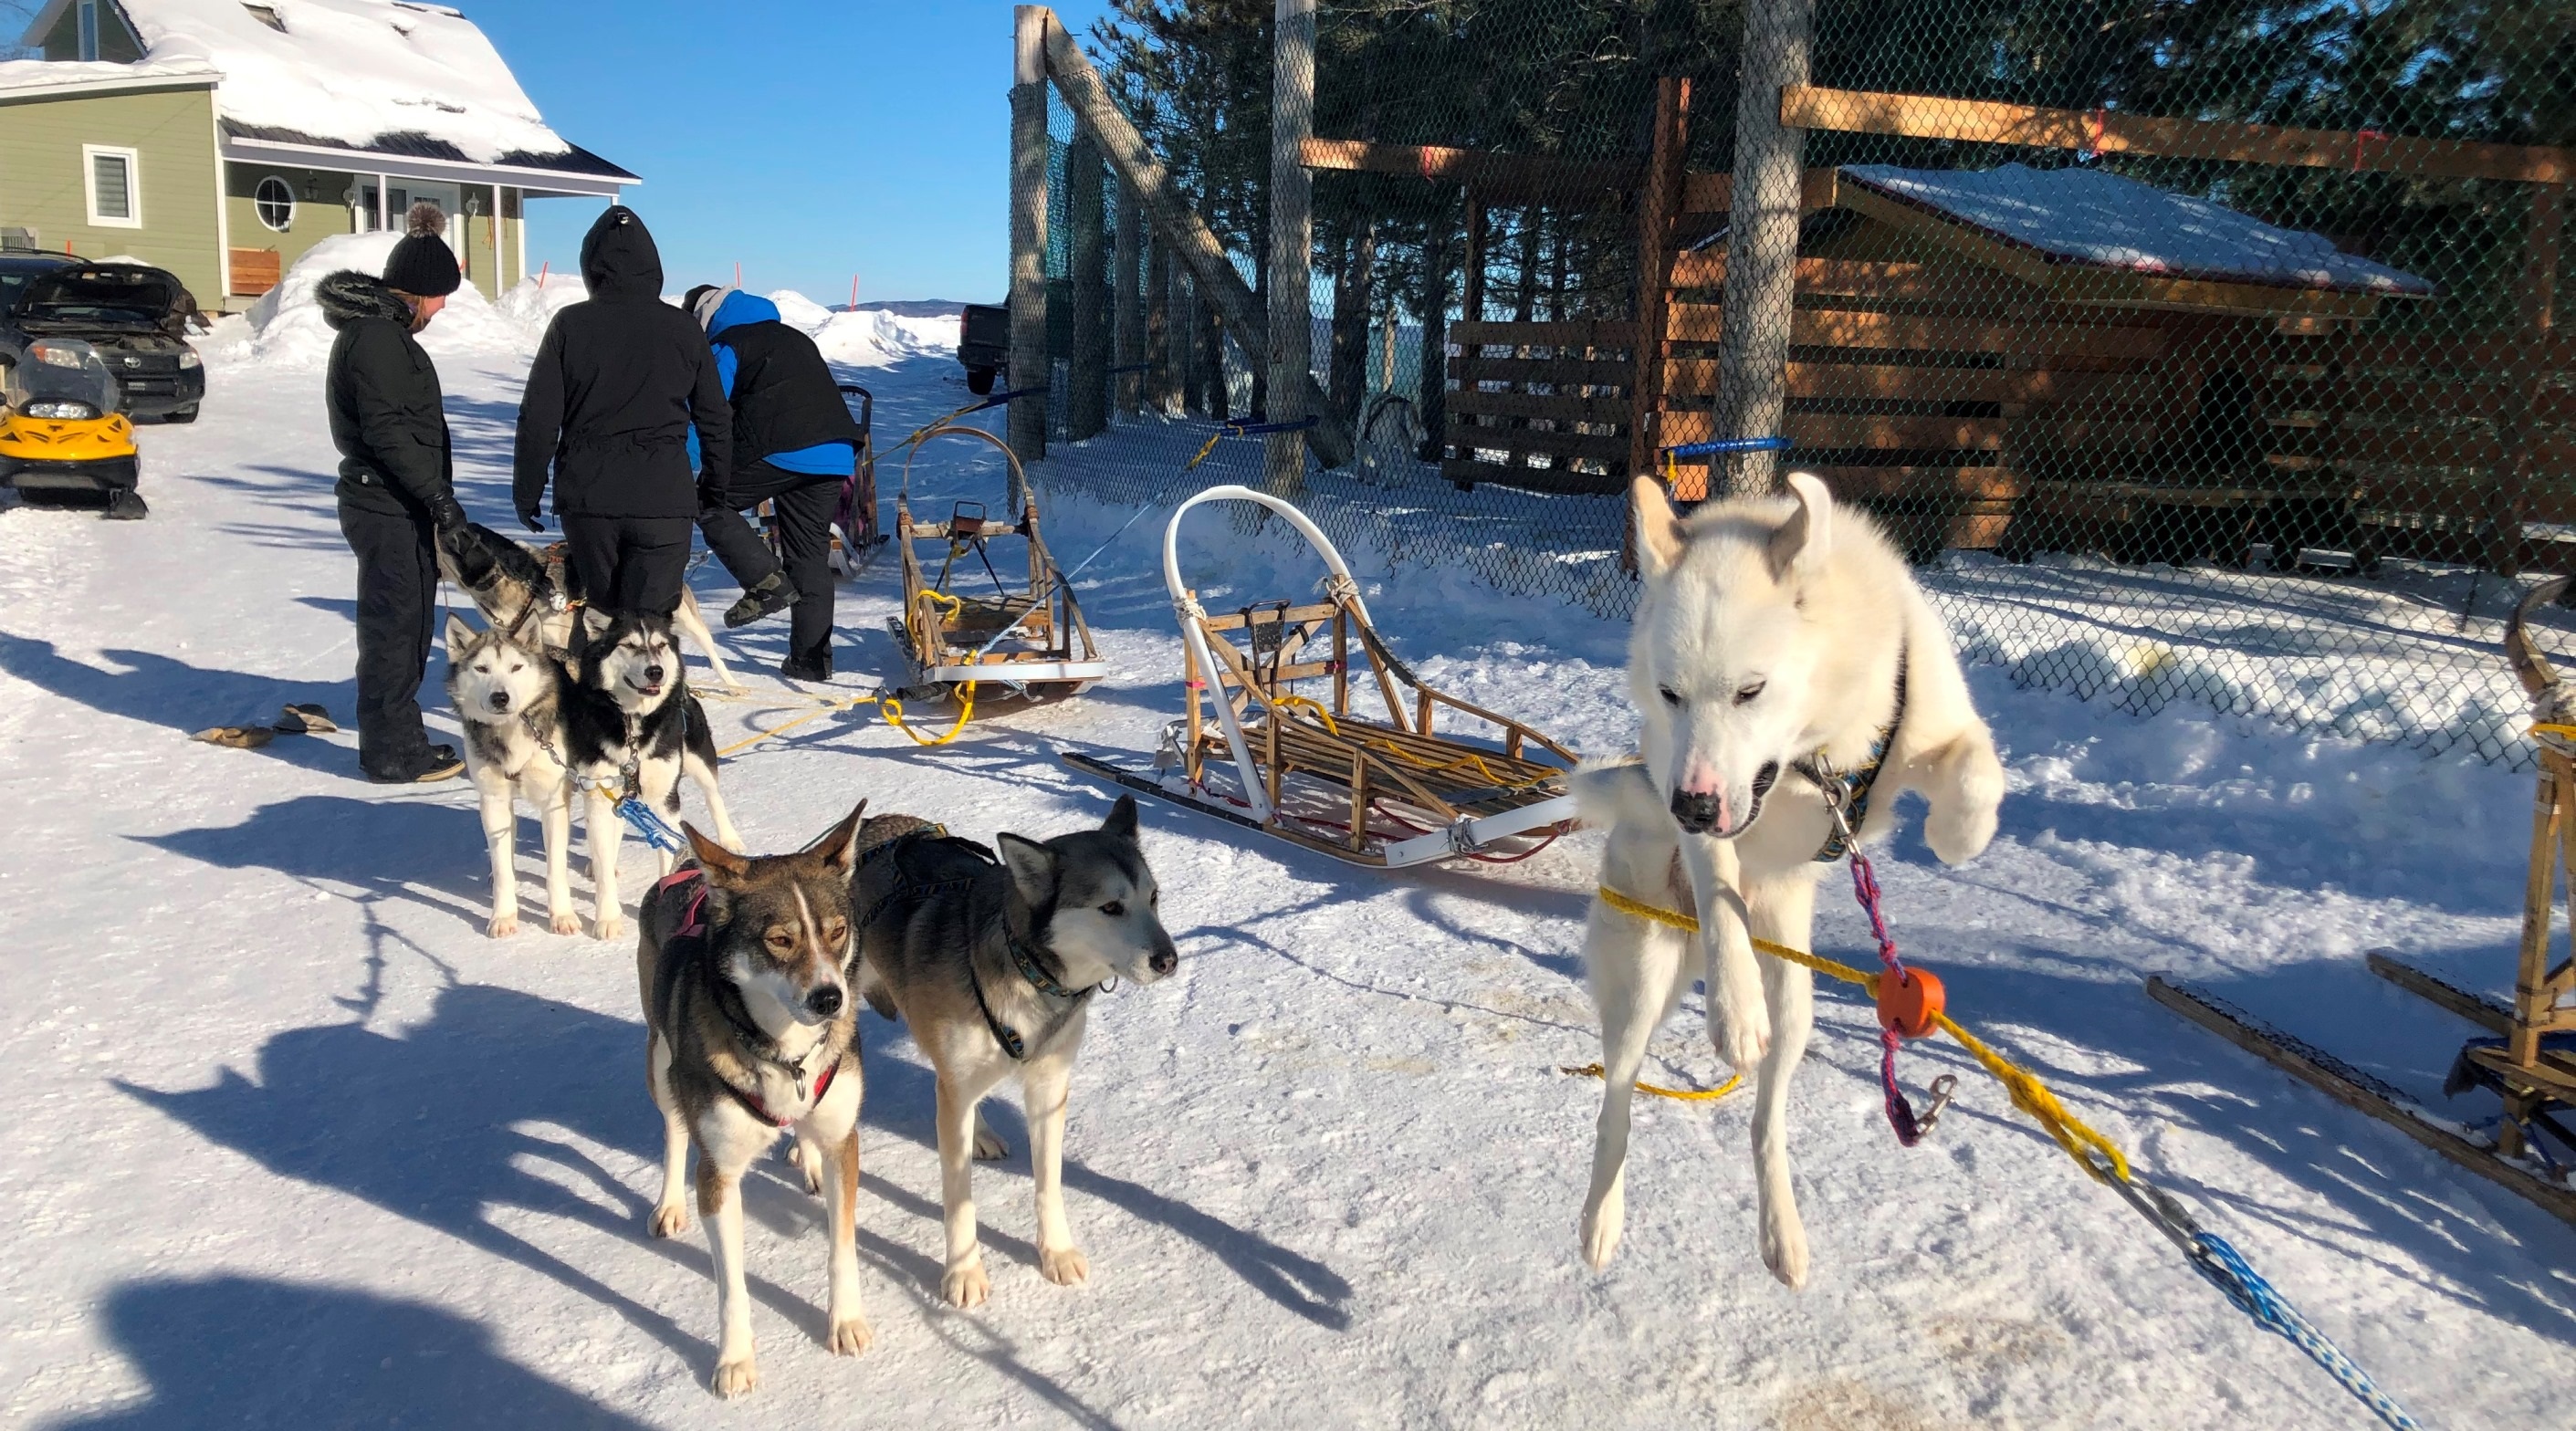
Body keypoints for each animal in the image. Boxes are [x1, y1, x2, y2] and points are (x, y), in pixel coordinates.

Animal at [445, 612, 581, 936]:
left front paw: (562, 915)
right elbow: (503, 868)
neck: (510, 730)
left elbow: (555, 867)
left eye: (516, 667)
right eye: (481, 668)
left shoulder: (554, 802)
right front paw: (503, 916)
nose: (500, 697)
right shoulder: (493, 800)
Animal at [638, 802, 870, 1400]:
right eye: (780, 940)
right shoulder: (719, 1173)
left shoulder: (844, 1141)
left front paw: (846, 1322)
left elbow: (841, 1247)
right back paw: (668, 1204)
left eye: (837, 932)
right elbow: (732, 1285)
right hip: (660, 1061)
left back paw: (804, 1157)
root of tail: (688, 872)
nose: (831, 998)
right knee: (673, 1129)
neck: (784, 1053)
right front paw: (735, 1359)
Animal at [854, 798, 1185, 1312]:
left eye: (1153, 898)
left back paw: (980, 1131)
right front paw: (963, 1272)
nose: (1169, 960)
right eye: (1110, 907)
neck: (1027, 970)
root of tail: (876, 825)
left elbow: (1048, 1181)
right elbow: (959, 1200)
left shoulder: (1049, 1090)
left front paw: (1057, 1253)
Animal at [1565, 475, 2009, 1291]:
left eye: (1751, 690)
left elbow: (1972, 770)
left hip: (1797, 1006)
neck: (1814, 757)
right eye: (1670, 694)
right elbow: (1722, 902)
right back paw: (1600, 1220)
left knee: (1765, 1122)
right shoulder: (1701, 815)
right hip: (1642, 973)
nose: (1690, 805)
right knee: (1618, 1097)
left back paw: (1782, 1233)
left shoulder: (1933, 719)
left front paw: (1956, 836)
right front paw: (1735, 1008)